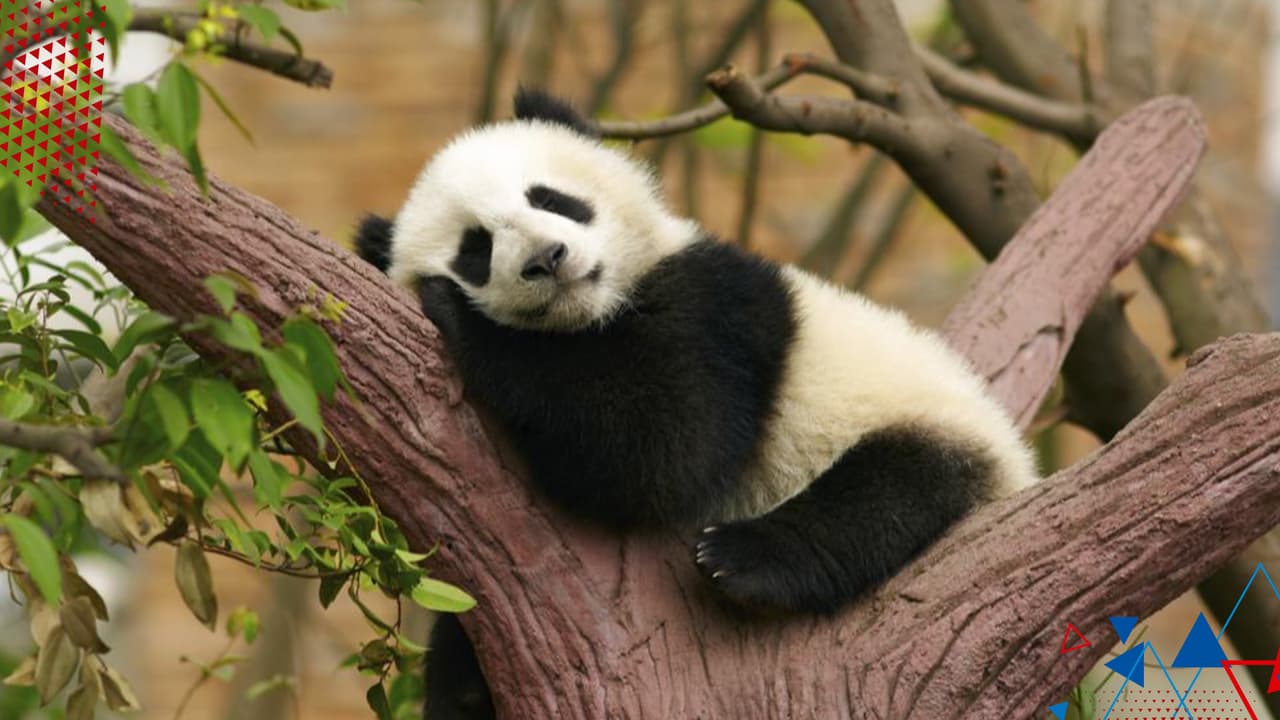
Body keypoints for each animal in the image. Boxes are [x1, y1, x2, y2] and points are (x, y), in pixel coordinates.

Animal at [356, 90, 1037, 719]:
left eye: (549, 199)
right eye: (475, 248)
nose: (547, 259)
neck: (592, 315)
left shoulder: (717, 307)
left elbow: (666, 444)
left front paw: (459, 316)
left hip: (924, 420)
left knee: (888, 492)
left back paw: (743, 559)